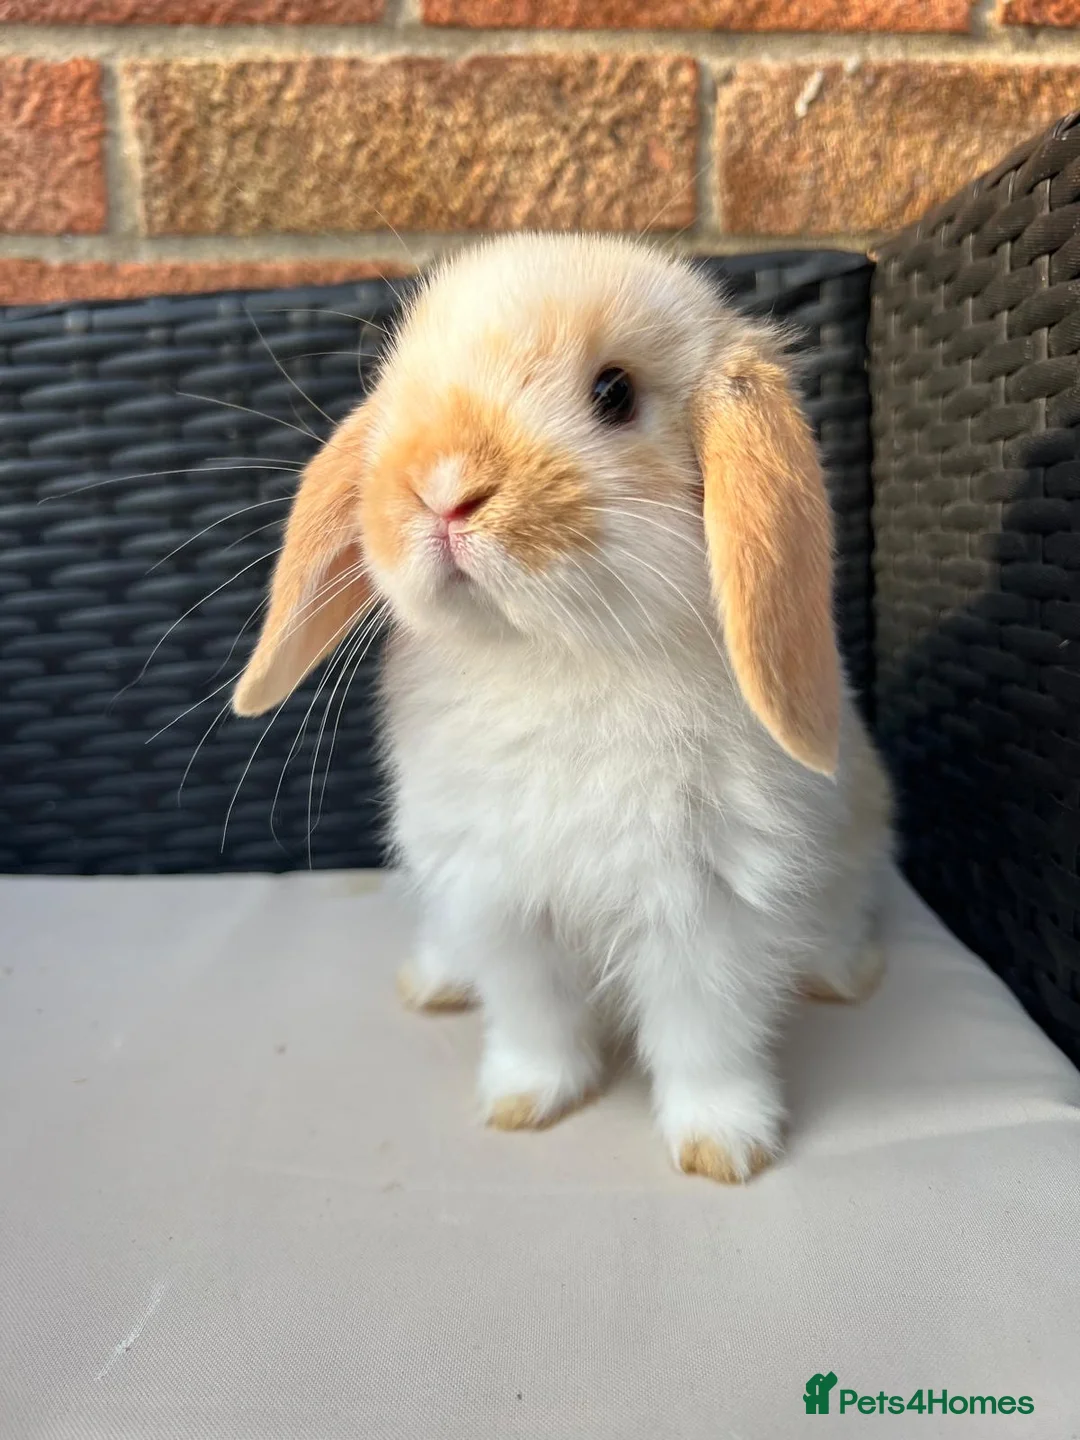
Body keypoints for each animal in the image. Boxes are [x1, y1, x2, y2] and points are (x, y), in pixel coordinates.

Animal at [232, 233, 893, 1184]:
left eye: (614, 393)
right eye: (399, 383)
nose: (442, 489)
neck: (554, 657)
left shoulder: (708, 911)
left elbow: (705, 1036)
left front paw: (723, 1147)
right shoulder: (497, 900)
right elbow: (533, 1015)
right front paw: (526, 1101)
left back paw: (844, 974)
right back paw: (431, 980)